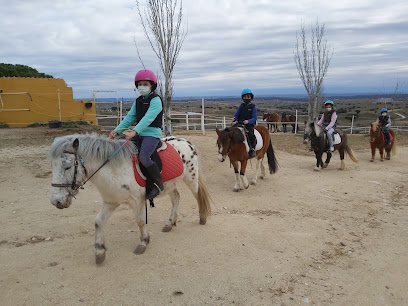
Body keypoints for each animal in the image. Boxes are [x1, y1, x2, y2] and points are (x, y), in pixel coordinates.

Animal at [49, 133, 212, 264]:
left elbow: (140, 221)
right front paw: (99, 252)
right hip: (169, 185)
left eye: (67, 166)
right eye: (53, 167)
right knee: (176, 198)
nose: (56, 201)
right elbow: (98, 222)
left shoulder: (137, 200)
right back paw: (170, 223)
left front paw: (143, 242)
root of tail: (186, 141)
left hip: (191, 178)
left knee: (198, 195)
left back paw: (202, 218)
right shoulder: (110, 202)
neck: (114, 169)